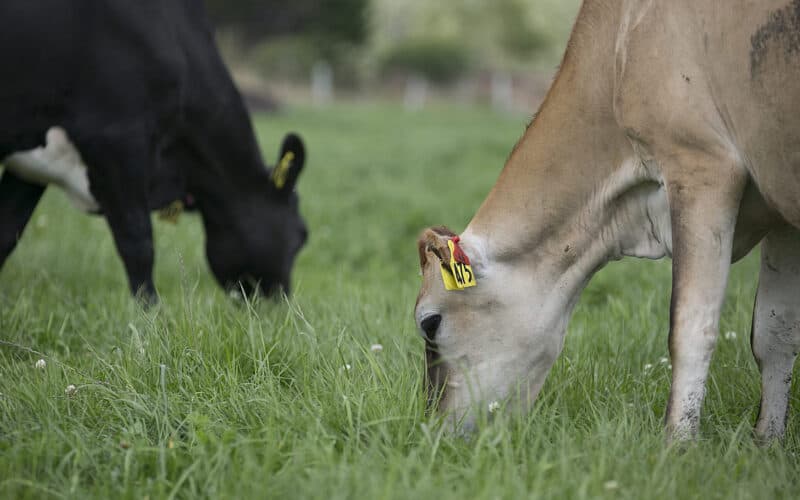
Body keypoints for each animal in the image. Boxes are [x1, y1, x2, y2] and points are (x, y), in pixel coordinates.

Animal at [0, 0, 308, 298]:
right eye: (301, 236)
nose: (281, 304)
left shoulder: (34, 166)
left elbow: (7, 231)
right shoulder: (118, 140)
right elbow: (138, 242)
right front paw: (149, 310)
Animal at [416, 0, 800, 442]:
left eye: (429, 323)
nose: (434, 430)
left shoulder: (700, 163)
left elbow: (689, 326)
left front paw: (677, 443)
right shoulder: (781, 205)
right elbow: (775, 330)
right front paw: (768, 441)